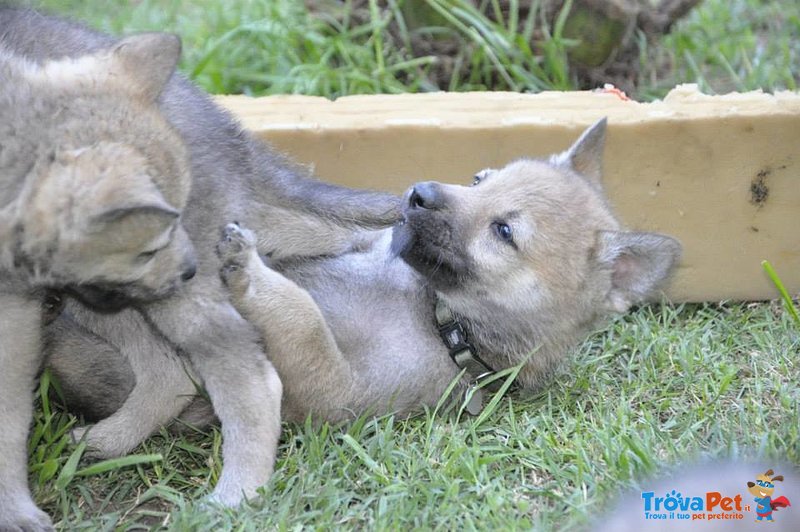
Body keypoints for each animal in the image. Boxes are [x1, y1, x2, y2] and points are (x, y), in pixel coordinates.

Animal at [54, 120, 680, 474]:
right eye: (480, 178)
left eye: (504, 231)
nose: (418, 194)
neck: (434, 312)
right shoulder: (348, 239)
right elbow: (304, 228)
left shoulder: (337, 391)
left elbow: (303, 319)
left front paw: (250, 272)